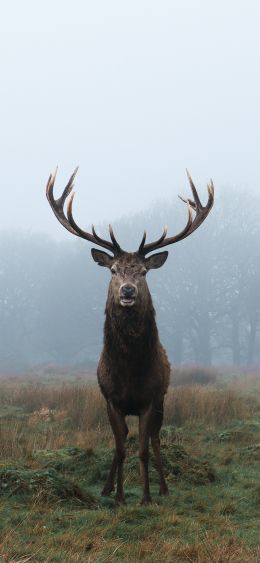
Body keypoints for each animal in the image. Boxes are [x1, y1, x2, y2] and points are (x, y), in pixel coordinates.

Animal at [45, 169, 214, 506]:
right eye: (112, 270)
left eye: (144, 272)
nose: (127, 291)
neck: (130, 372)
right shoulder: (111, 400)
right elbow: (121, 448)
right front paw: (120, 496)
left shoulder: (150, 399)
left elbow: (144, 449)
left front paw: (146, 496)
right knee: (121, 441)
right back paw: (107, 487)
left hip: (163, 400)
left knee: (156, 439)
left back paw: (163, 487)